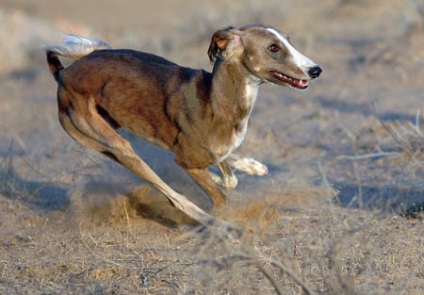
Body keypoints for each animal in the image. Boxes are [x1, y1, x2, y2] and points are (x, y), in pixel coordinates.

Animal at [44, 24, 322, 228]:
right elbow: (220, 194)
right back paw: (217, 225)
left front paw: (244, 167)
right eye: (273, 47)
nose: (316, 70)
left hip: (108, 83)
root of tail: (64, 73)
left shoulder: (209, 151)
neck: (215, 100)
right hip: (116, 145)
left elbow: (229, 175)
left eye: (289, 41)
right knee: (174, 197)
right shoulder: (187, 161)